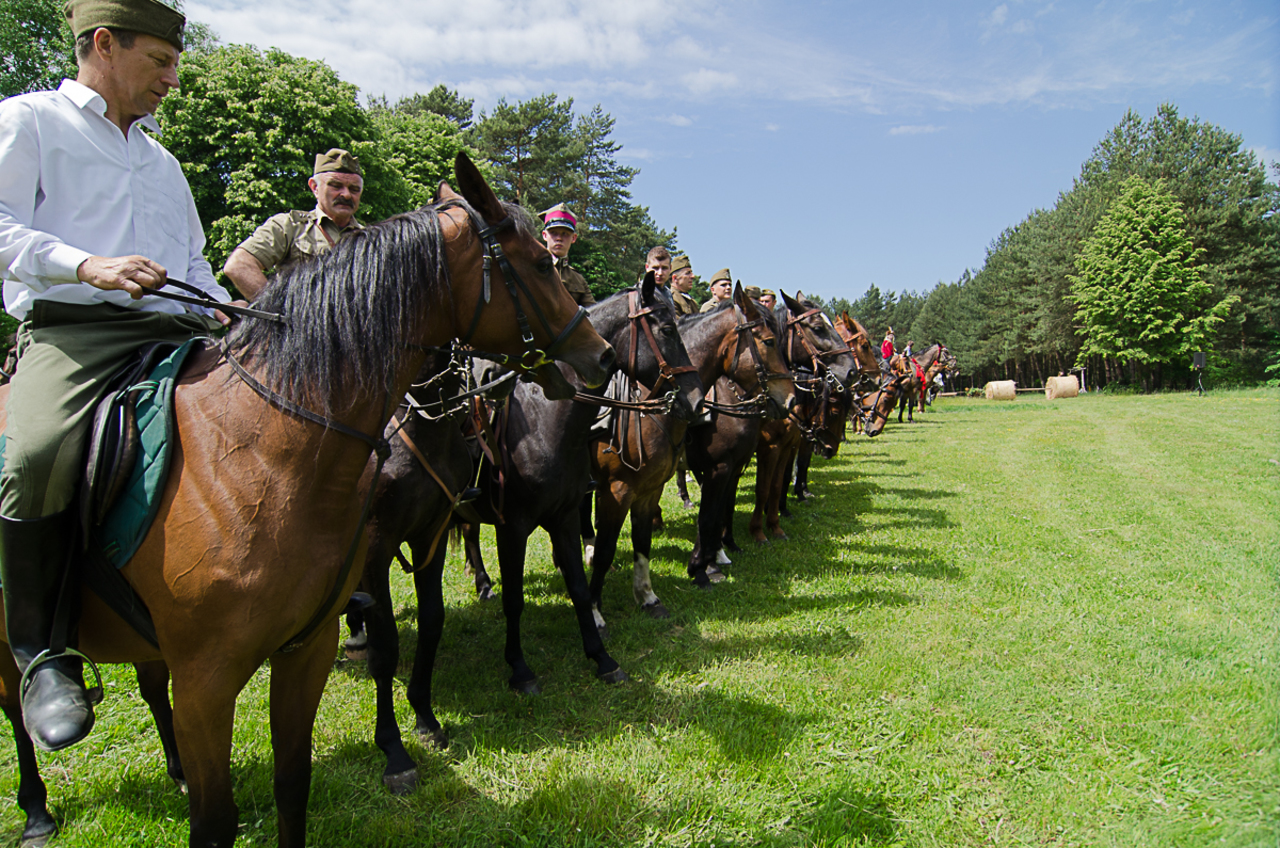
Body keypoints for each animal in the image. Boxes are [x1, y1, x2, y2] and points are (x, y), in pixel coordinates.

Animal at [0, 154, 614, 848]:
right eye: (539, 264)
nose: (599, 354)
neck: (259, 454)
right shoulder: (213, 675)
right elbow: (384, 649)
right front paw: (396, 751)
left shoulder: (375, 581)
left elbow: (305, 768)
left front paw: (425, 717)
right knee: (17, 708)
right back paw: (38, 800)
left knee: (150, 684)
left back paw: (176, 771)